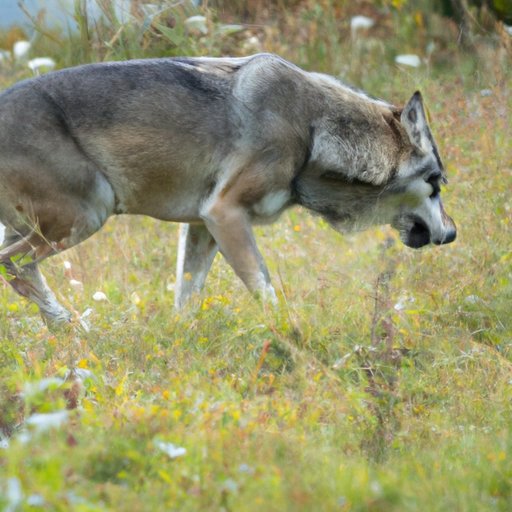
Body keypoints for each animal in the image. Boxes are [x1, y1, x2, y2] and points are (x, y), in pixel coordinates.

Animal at [0, 52, 456, 324]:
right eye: (435, 183)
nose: (452, 233)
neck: (313, 130)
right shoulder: (225, 214)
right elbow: (267, 292)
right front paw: (290, 337)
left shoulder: (202, 226)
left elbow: (185, 301)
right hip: (86, 216)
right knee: (15, 266)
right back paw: (67, 325)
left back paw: (69, 328)